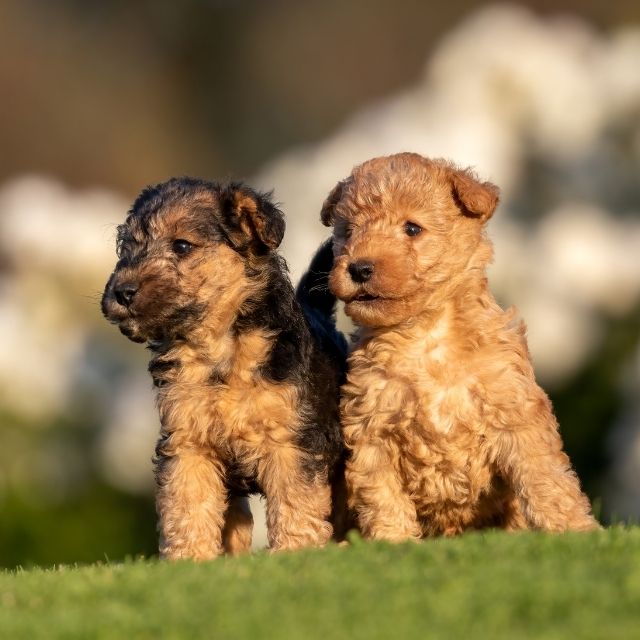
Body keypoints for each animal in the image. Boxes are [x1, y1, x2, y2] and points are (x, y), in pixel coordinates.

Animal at [102, 178, 348, 556]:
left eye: (182, 245)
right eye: (125, 247)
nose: (122, 292)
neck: (219, 350)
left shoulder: (292, 442)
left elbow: (295, 502)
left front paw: (294, 551)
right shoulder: (187, 444)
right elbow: (187, 506)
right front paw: (189, 558)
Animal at [322, 155, 604, 540]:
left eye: (412, 229)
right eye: (348, 232)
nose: (359, 268)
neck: (425, 334)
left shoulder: (514, 411)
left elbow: (544, 478)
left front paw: (575, 530)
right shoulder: (371, 427)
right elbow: (382, 496)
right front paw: (392, 542)